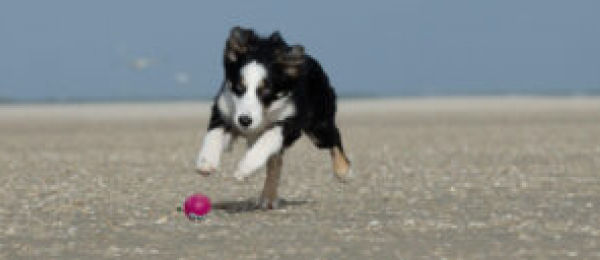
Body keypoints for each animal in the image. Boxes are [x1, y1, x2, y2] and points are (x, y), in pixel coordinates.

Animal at [196, 26, 352, 209]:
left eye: (266, 92)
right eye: (239, 88)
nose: (244, 120)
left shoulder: (291, 121)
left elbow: (268, 139)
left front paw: (244, 168)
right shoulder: (224, 107)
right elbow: (213, 133)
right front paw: (206, 162)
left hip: (319, 126)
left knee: (334, 139)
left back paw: (344, 171)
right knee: (275, 162)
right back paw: (268, 197)